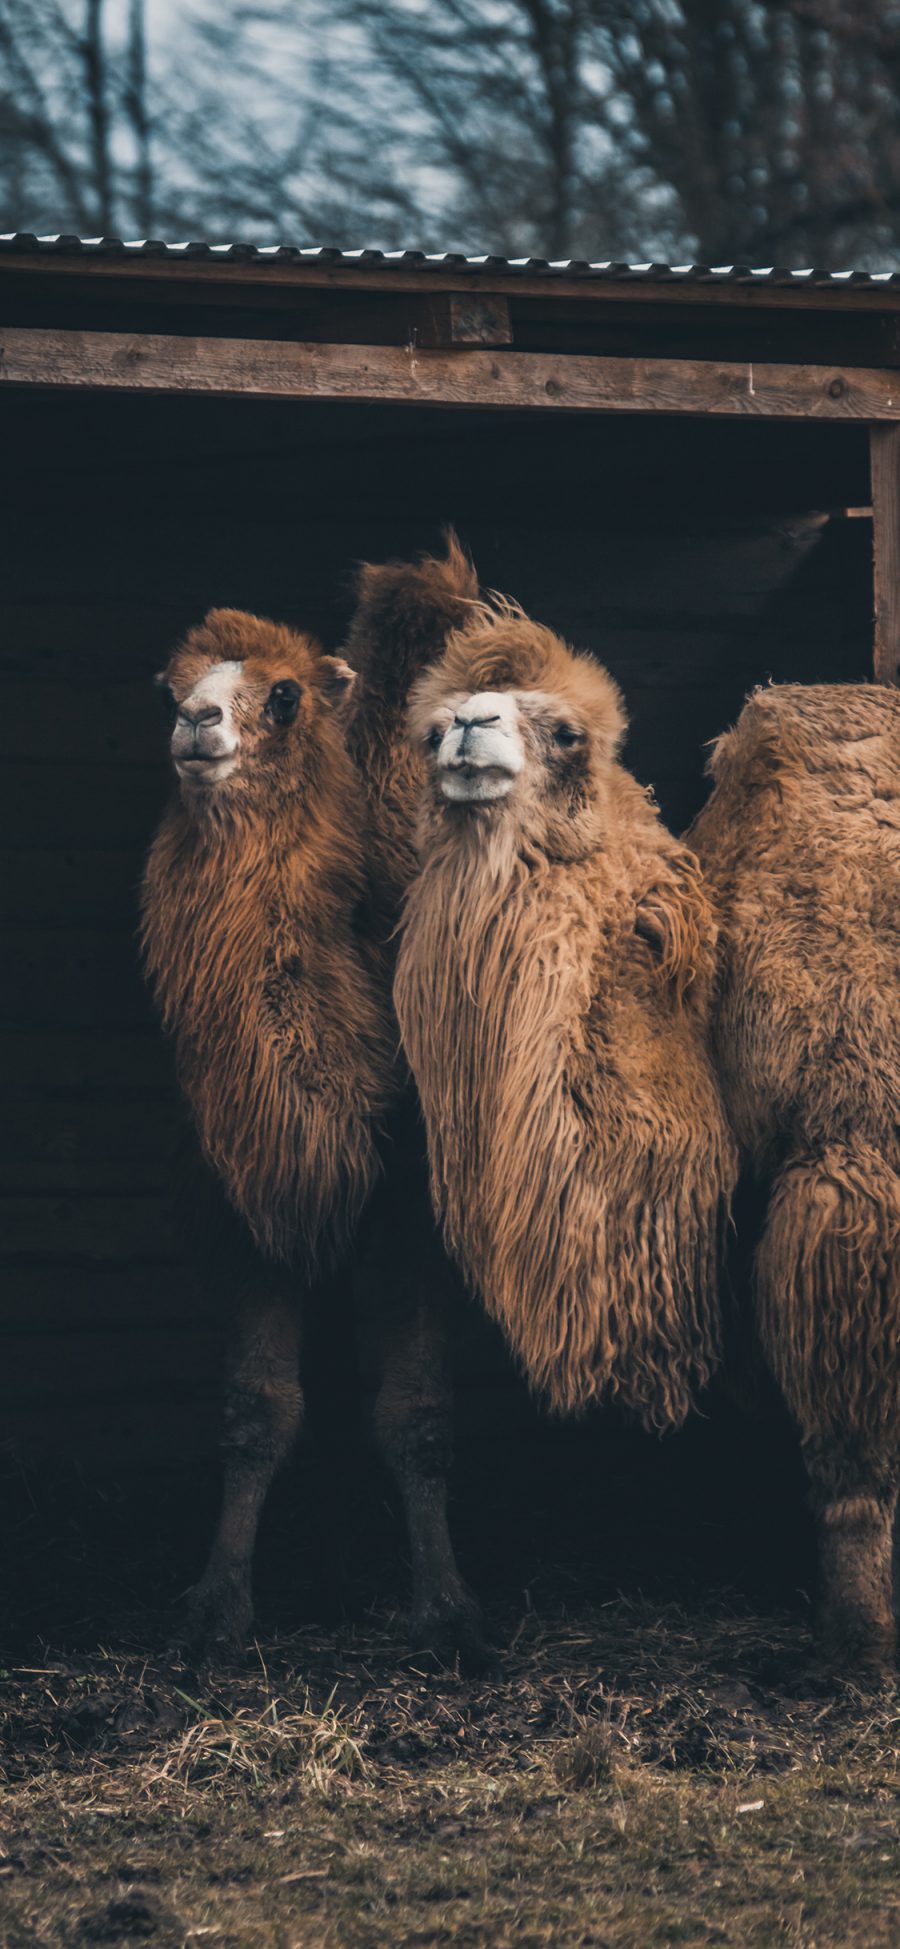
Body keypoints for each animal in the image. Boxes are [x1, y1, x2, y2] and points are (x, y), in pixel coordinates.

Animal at [140, 604, 477, 1660]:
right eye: (171, 687)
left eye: (284, 696)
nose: (197, 722)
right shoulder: (246, 1201)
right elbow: (257, 1409)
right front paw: (216, 1608)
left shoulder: (414, 1210)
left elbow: (417, 1415)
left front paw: (446, 1611)